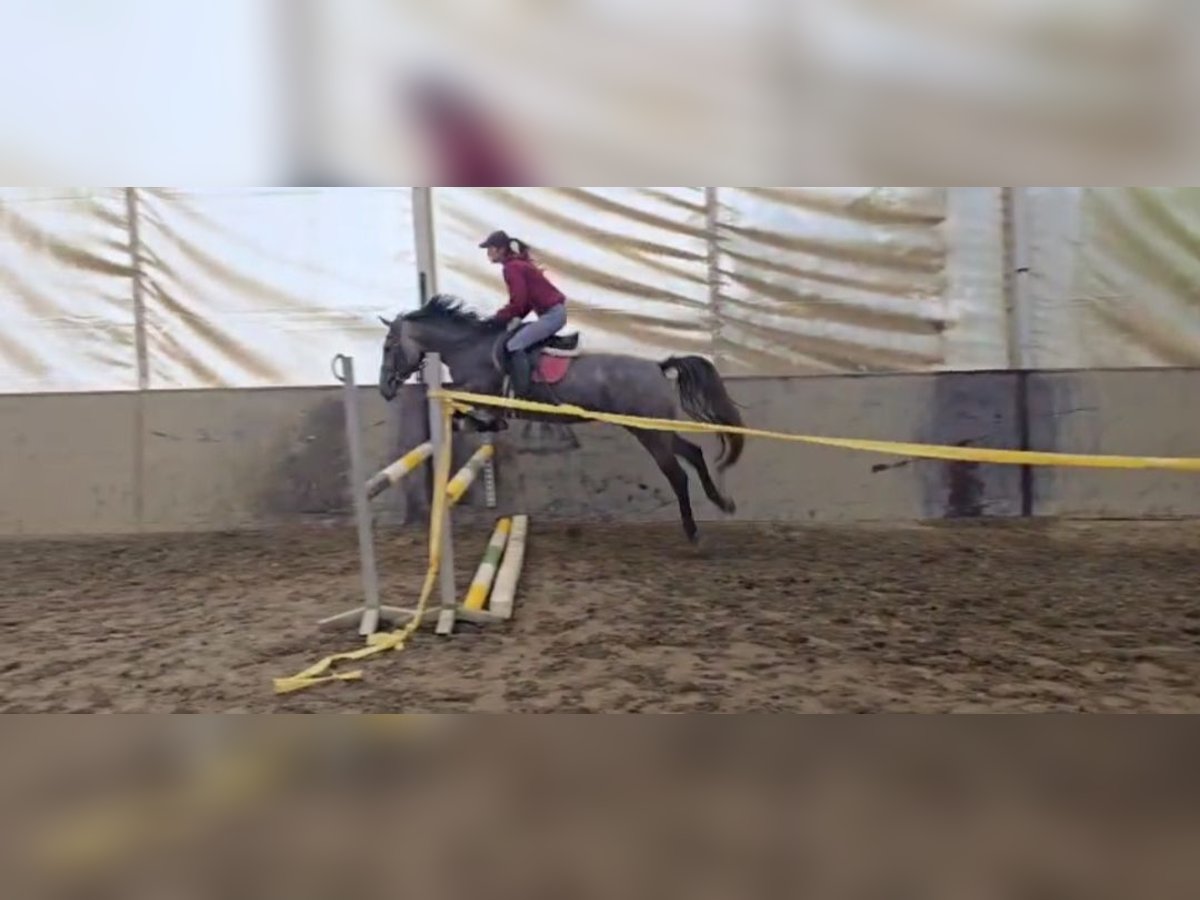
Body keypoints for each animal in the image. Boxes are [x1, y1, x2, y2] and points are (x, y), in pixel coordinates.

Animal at [378, 295, 745, 544]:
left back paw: (693, 530)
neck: (469, 348)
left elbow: (461, 408)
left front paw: (476, 423)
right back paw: (722, 502)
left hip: (649, 432)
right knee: (694, 453)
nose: (385, 388)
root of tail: (658, 367)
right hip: (653, 429)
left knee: (677, 475)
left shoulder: (480, 391)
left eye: (389, 347)